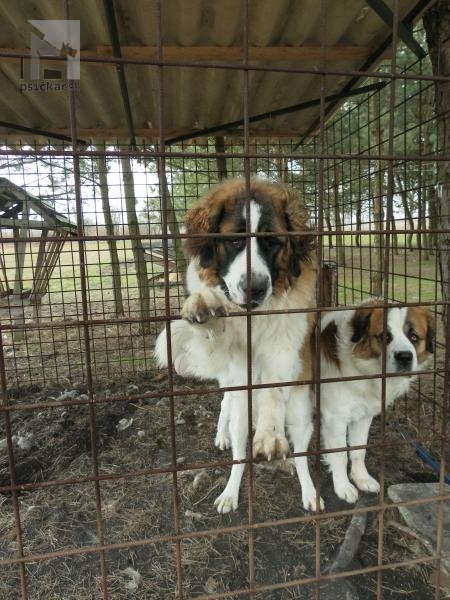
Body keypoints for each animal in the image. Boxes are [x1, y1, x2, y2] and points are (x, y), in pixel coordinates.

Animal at [156, 176, 324, 512]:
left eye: (272, 242)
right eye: (235, 241)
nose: (255, 288)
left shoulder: (283, 350)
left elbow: (273, 391)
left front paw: (270, 436)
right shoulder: (228, 356)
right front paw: (203, 304)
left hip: (300, 412)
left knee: (299, 453)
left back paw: (305, 486)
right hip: (239, 405)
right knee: (236, 443)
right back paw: (229, 488)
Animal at [318, 300, 434, 502]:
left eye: (413, 337)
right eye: (385, 336)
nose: (404, 357)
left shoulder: (363, 416)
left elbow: (359, 450)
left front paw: (361, 478)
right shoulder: (335, 420)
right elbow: (339, 455)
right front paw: (342, 486)